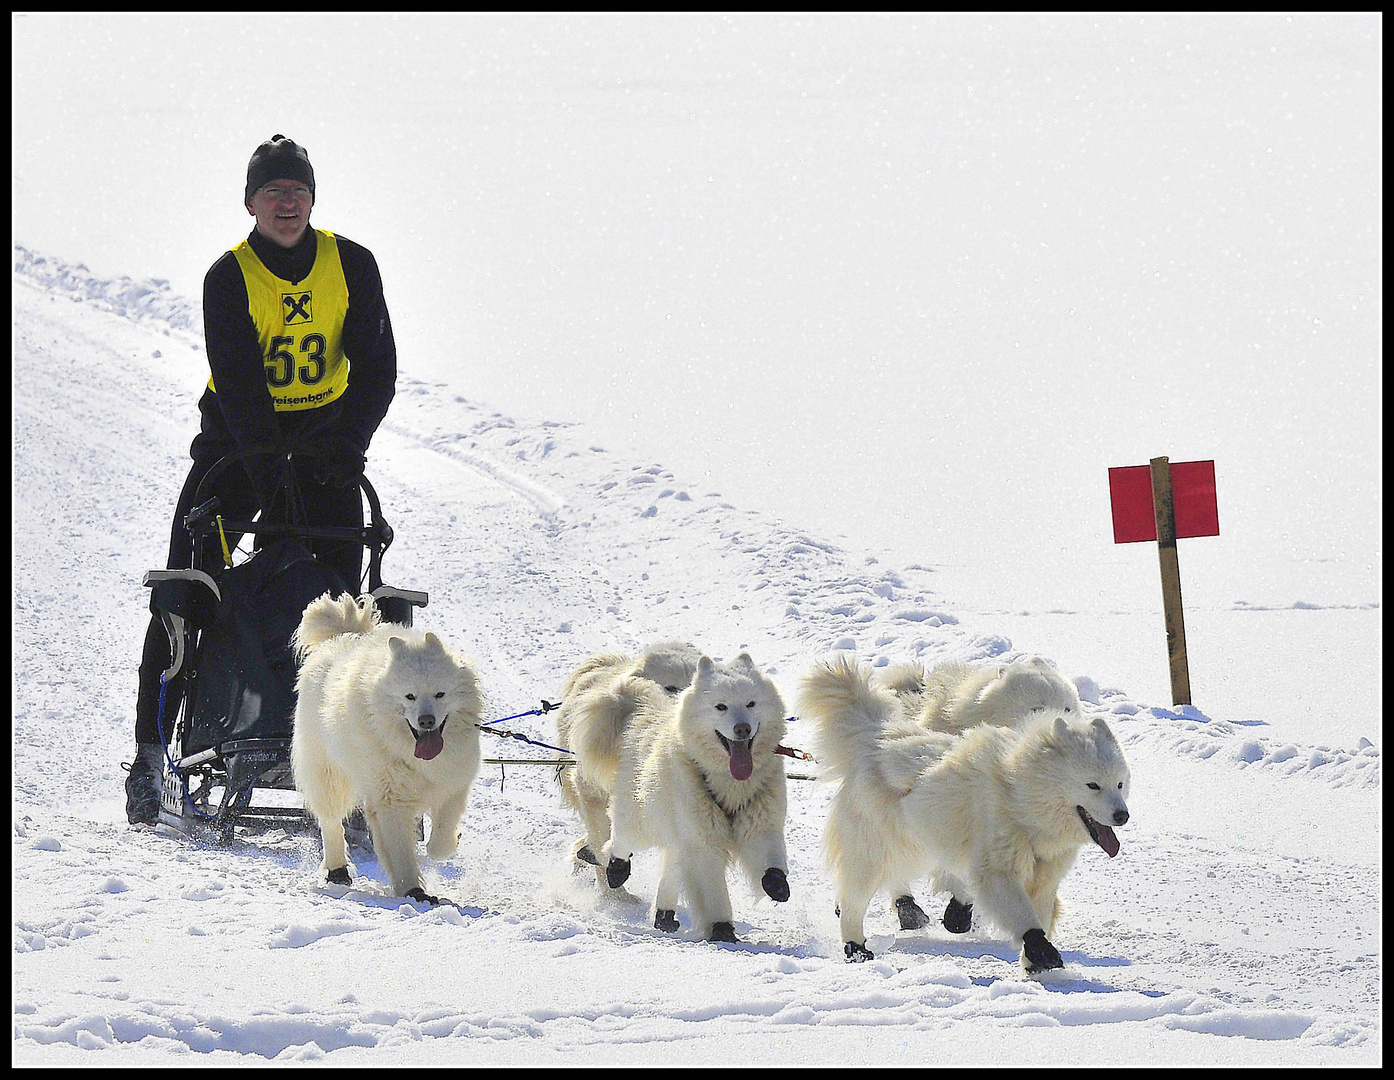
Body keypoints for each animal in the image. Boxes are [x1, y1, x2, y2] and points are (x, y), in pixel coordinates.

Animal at [291, 596, 487, 908]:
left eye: (440, 694)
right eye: (410, 696)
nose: (426, 720)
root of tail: (340, 635)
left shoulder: (453, 782)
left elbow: (442, 835)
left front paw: (446, 844)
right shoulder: (389, 800)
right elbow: (400, 850)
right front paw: (413, 892)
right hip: (329, 774)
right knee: (331, 822)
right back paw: (337, 871)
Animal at [591, 654, 797, 942]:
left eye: (751, 703)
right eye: (720, 707)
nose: (742, 729)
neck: (731, 784)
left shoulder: (760, 825)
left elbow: (771, 865)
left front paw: (776, 884)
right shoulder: (703, 845)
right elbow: (712, 892)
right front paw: (722, 931)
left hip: (677, 840)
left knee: (670, 870)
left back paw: (664, 916)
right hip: (642, 821)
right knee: (619, 842)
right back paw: (616, 870)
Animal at [802, 654, 1126, 975]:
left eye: (1120, 784)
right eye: (1092, 785)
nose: (1122, 816)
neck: (1019, 794)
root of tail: (878, 737)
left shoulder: (1045, 876)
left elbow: (1039, 912)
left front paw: (1033, 963)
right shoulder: (995, 869)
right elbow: (1019, 913)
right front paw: (1041, 950)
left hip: (915, 847)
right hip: (878, 850)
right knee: (856, 898)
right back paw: (858, 946)